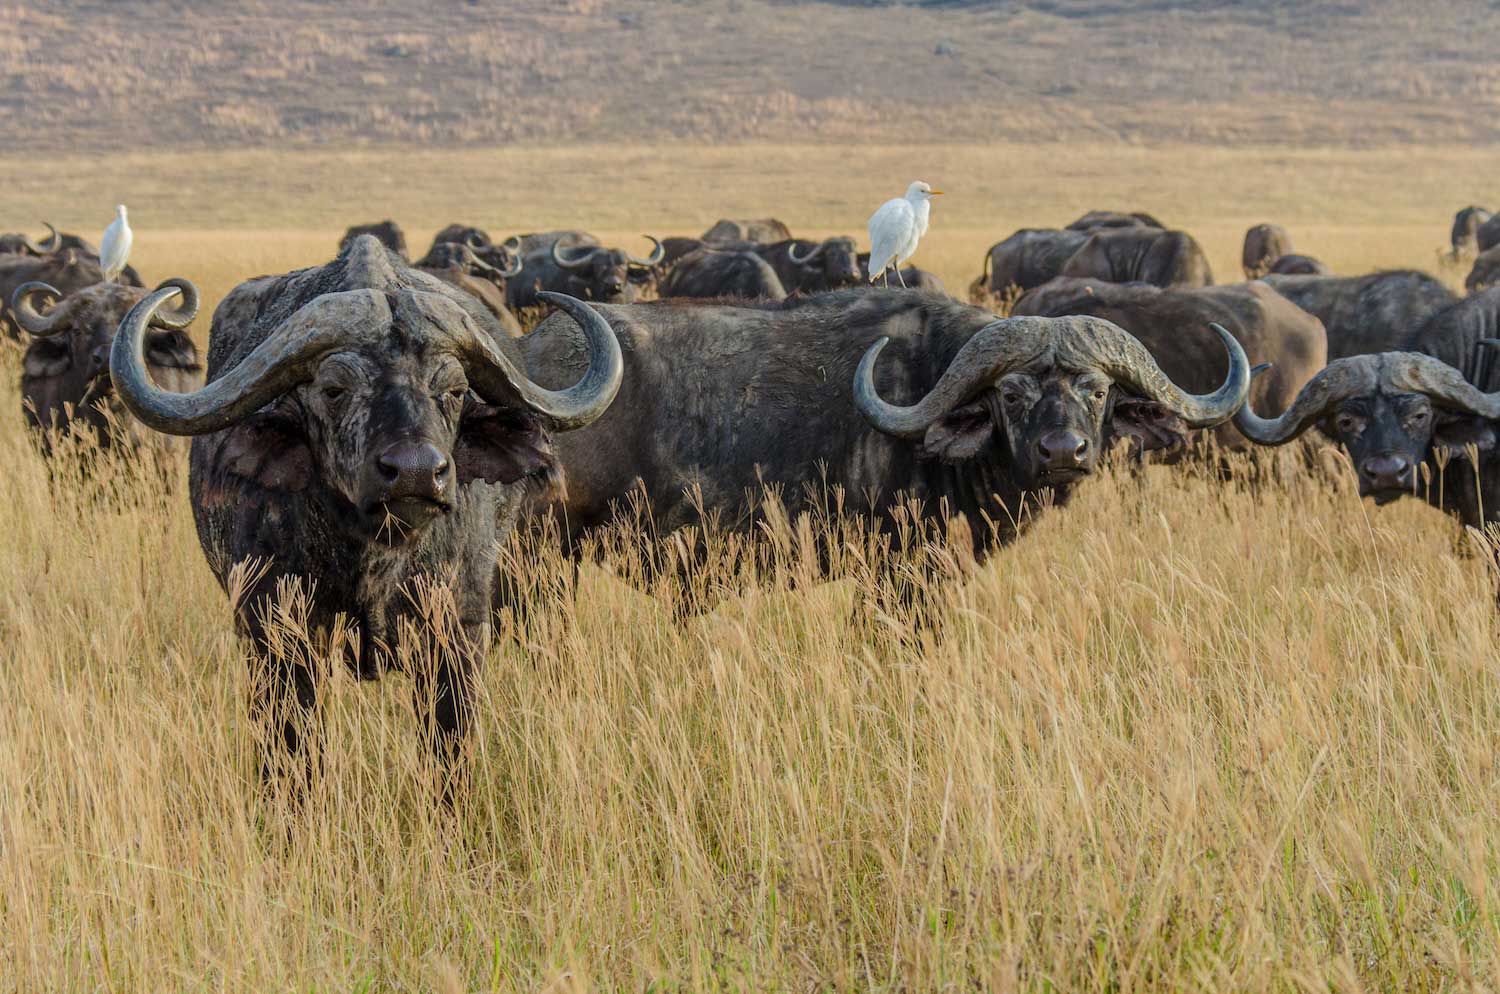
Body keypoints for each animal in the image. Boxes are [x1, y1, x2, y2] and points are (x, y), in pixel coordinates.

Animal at [107, 236, 623, 790]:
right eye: (335, 390)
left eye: (454, 392)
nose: (416, 472)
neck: (375, 561)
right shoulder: (276, 637)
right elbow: (292, 755)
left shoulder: (458, 635)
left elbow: (450, 753)